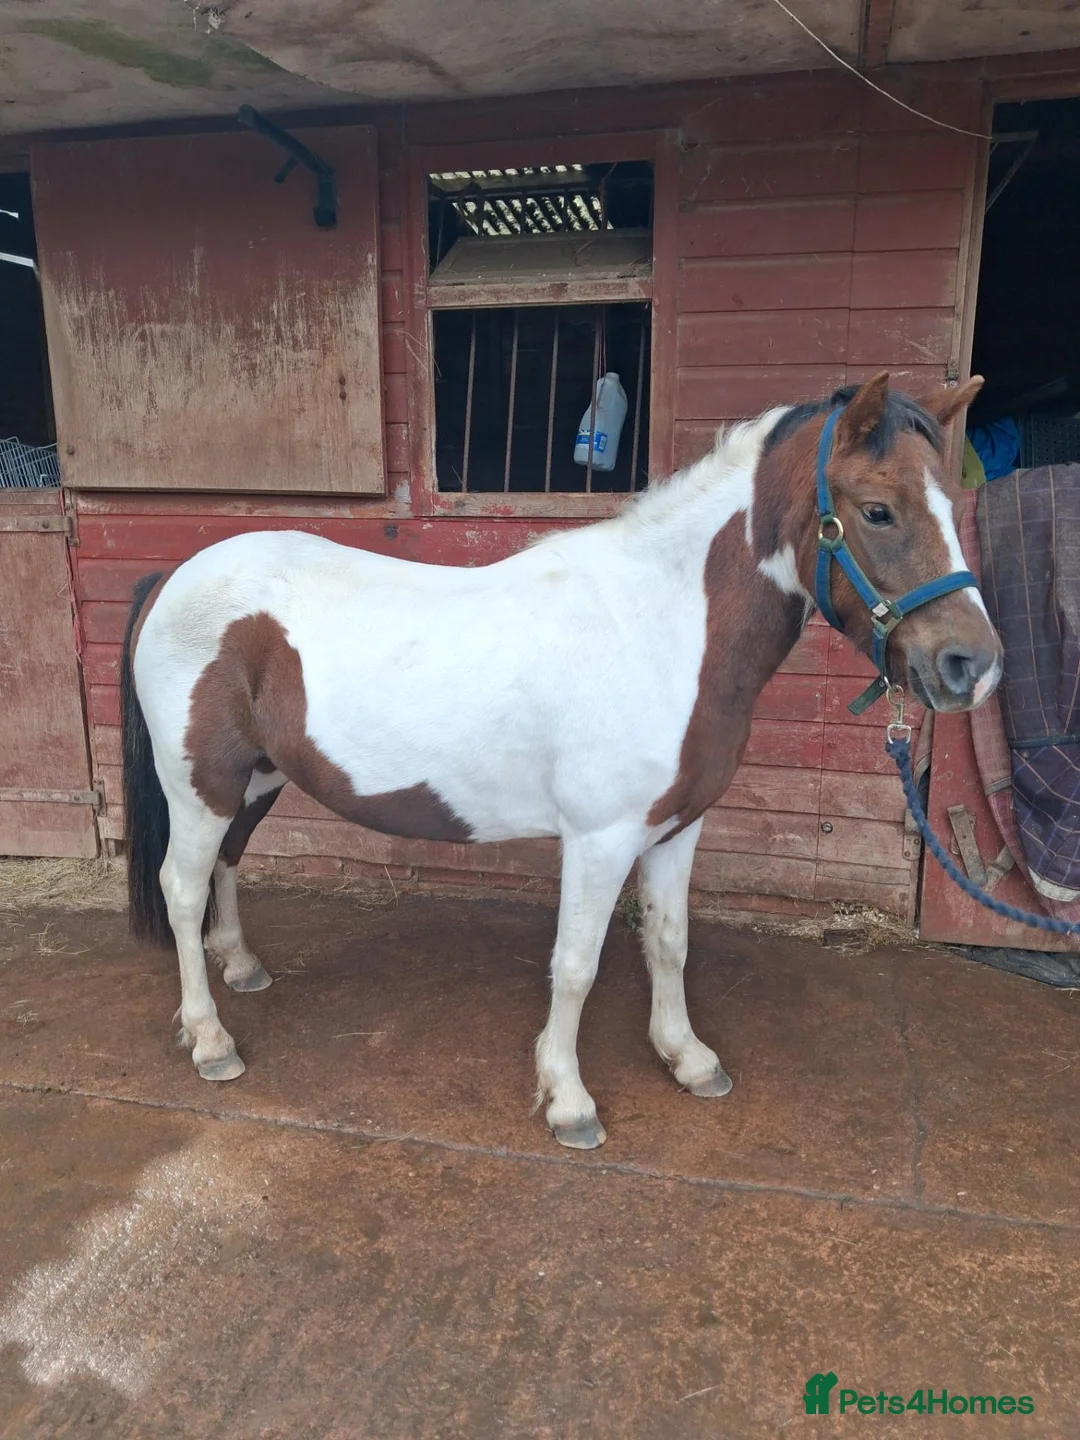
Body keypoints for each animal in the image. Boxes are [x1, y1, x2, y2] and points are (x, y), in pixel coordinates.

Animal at [120, 371, 1002, 1149]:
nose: (972, 666)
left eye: (950, 503)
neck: (658, 626)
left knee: (226, 865)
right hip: (200, 784)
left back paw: (241, 968)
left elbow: (670, 941)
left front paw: (687, 1059)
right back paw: (211, 1040)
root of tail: (173, 576)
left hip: (255, 778)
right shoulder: (600, 840)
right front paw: (569, 1100)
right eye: (877, 509)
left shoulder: (678, 829)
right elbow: (576, 964)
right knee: (181, 889)